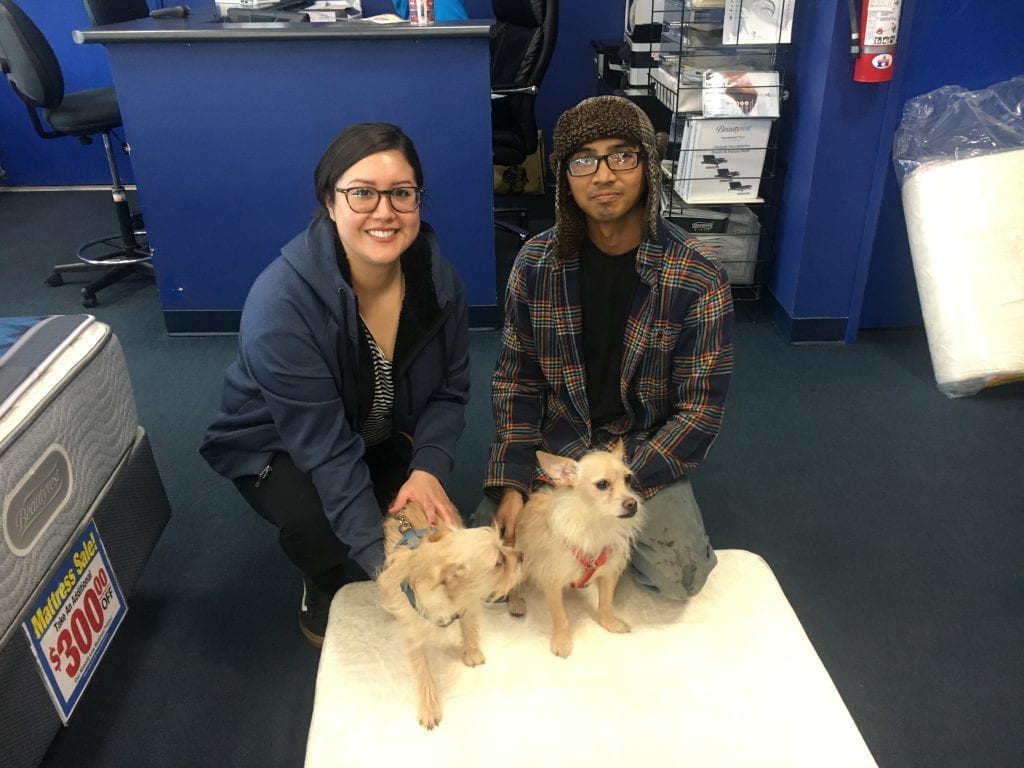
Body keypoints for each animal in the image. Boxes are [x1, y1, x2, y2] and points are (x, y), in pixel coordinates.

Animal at [374, 501, 524, 729]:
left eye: (503, 546)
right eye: (499, 562)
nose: (522, 556)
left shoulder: (468, 601)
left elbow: (469, 627)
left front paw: (472, 652)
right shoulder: (413, 634)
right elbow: (422, 671)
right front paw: (429, 707)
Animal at [505, 444, 643, 663]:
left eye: (628, 479)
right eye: (602, 484)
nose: (632, 503)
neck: (596, 523)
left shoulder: (609, 573)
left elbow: (606, 603)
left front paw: (610, 623)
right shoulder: (552, 582)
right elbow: (560, 617)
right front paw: (562, 642)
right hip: (521, 565)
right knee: (511, 586)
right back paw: (515, 602)